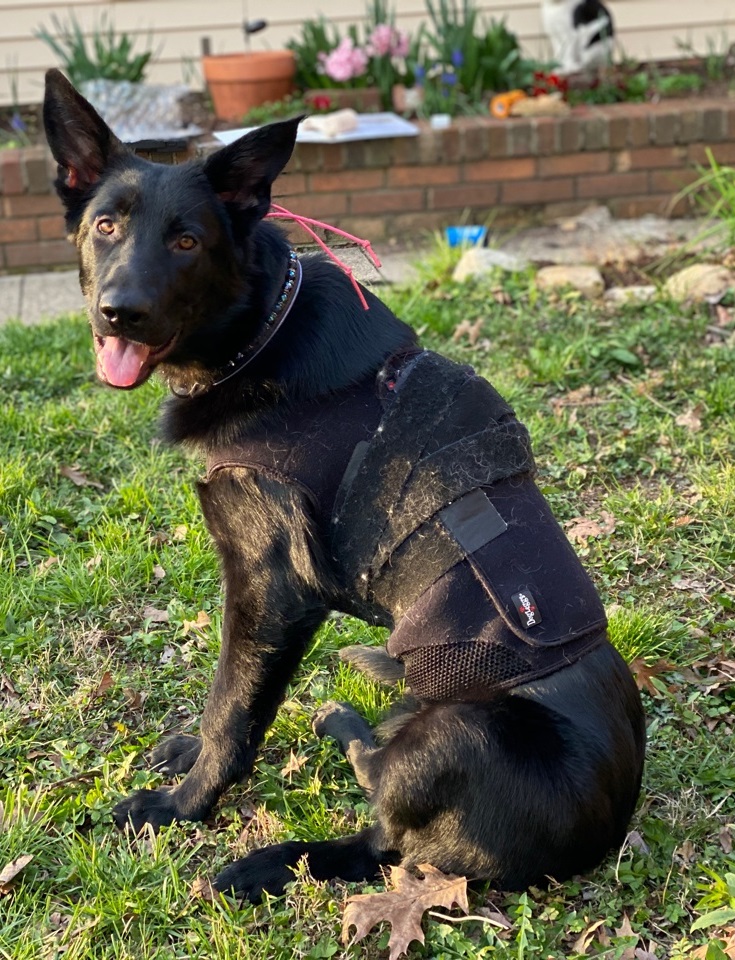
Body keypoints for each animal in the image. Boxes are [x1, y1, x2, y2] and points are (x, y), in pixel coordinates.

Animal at [44, 67, 644, 900]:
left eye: (187, 241)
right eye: (105, 226)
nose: (117, 314)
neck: (257, 331)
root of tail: (601, 836)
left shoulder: (272, 588)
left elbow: (234, 707)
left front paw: (183, 802)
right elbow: (231, 703)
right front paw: (187, 757)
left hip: (461, 729)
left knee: (380, 821)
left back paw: (312, 786)